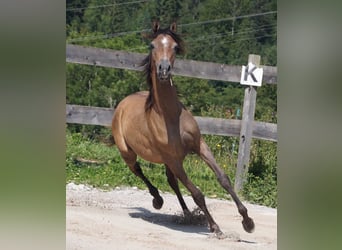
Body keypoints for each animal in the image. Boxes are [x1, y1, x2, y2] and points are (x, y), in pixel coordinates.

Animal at [112, 20, 254, 237]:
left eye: (175, 47)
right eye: (152, 45)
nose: (163, 69)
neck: (169, 116)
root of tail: (123, 103)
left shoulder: (199, 146)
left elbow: (223, 179)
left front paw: (247, 222)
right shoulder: (174, 160)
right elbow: (197, 193)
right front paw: (215, 227)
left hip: (167, 160)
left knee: (172, 181)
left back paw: (187, 214)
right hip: (129, 153)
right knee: (138, 170)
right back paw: (158, 200)